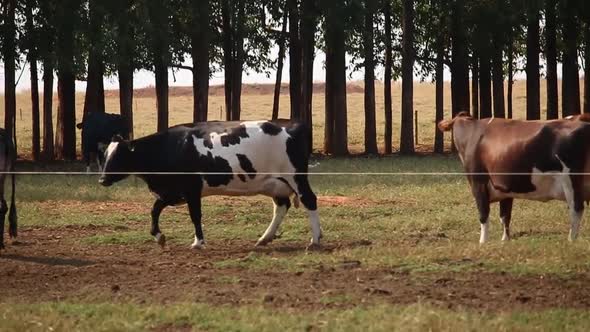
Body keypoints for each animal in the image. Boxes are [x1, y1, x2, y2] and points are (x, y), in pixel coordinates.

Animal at [100, 120, 324, 248]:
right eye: (105, 155)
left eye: (118, 156)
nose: (102, 179)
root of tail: (292, 124)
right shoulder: (172, 192)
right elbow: (155, 210)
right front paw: (158, 236)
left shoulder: (192, 189)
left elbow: (195, 215)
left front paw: (198, 242)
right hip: (275, 183)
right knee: (281, 206)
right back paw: (264, 238)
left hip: (295, 177)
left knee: (309, 200)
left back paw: (315, 240)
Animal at [438, 113, 590, 243]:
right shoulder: (505, 188)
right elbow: (505, 216)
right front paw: (505, 240)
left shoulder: (478, 183)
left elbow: (484, 214)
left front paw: (483, 242)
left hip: (570, 181)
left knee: (576, 209)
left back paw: (571, 240)